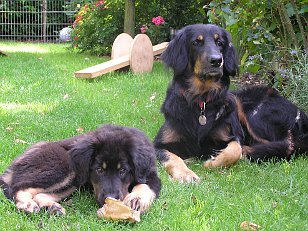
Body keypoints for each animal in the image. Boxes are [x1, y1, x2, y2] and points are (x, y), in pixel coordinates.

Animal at [0, 124, 161, 215]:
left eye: (123, 171)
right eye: (99, 170)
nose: (110, 198)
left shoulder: (150, 173)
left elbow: (145, 185)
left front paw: (136, 199)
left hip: (74, 182)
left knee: (40, 194)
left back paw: (52, 208)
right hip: (64, 165)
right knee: (18, 186)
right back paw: (27, 205)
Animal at [154, 23, 308, 182]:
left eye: (220, 43)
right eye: (196, 42)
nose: (217, 60)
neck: (202, 100)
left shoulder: (233, 135)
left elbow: (235, 149)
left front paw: (214, 161)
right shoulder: (158, 145)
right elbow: (172, 157)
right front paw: (186, 174)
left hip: (249, 110)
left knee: (285, 145)